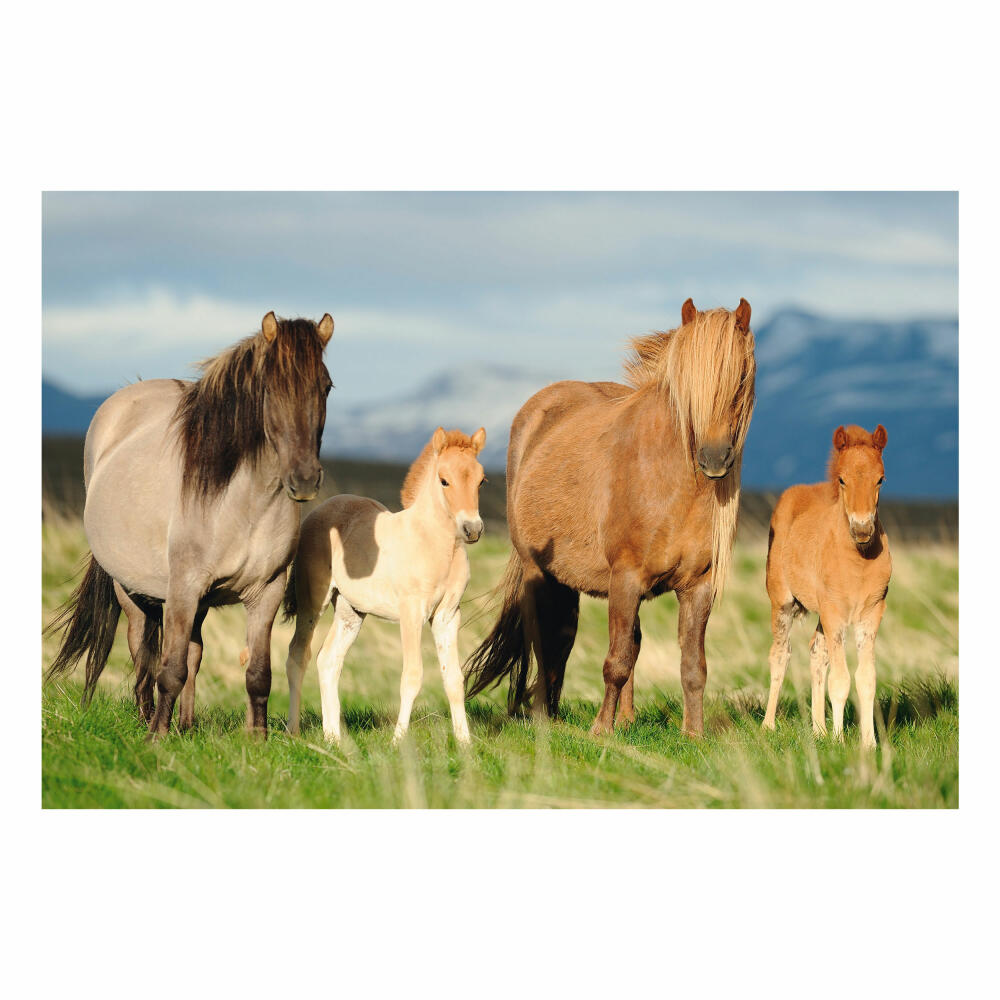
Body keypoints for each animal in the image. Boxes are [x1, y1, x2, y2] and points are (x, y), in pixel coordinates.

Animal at [45, 311, 334, 738]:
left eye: (326, 386)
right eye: (269, 388)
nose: (304, 479)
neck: (243, 504)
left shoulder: (265, 592)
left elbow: (257, 674)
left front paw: (258, 740)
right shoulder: (183, 589)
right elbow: (170, 669)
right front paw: (156, 739)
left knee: (193, 653)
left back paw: (185, 724)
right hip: (131, 591)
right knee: (143, 651)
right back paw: (149, 719)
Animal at [282, 426, 487, 745]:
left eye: (481, 480)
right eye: (444, 480)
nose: (472, 529)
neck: (435, 544)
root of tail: (320, 510)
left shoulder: (447, 616)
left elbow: (453, 678)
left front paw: (465, 742)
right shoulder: (411, 613)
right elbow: (412, 676)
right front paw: (398, 740)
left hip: (350, 611)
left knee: (328, 659)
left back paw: (333, 737)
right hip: (313, 602)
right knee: (297, 656)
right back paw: (294, 730)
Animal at [465, 298, 756, 736]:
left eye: (739, 380)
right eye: (689, 386)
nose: (715, 459)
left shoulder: (698, 587)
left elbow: (692, 666)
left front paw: (694, 733)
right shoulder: (626, 579)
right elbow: (615, 662)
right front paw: (601, 731)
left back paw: (616, 717)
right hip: (540, 573)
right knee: (547, 641)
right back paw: (543, 716)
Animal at [762, 424, 891, 749]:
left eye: (880, 478)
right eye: (842, 479)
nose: (862, 530)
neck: (858, 562)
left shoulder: (871, 612)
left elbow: (866, 677)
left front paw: (869, 744)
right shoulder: (835, 612)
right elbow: (841, 679)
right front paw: (839, 741)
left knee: (817, 652)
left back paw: (819, 730)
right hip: (782, 602)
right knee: (780, 654)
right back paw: (768, 726)